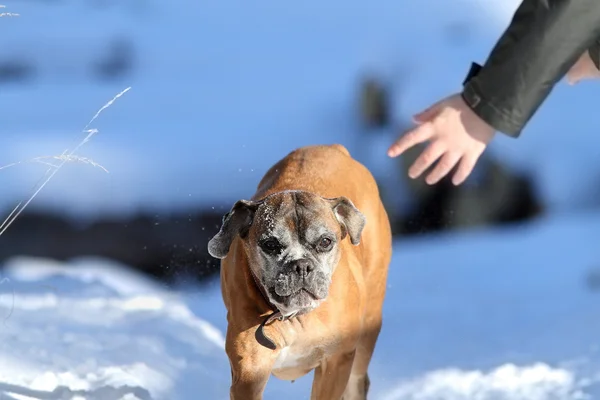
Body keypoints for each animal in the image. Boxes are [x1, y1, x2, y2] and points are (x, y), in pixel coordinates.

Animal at [209, 145, 392, 400]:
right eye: (270, 244)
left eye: (325, 241)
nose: (301, 265)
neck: (294, 317)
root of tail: (333, 148)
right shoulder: (249, 373)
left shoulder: (336, 363)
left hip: (367, 332)